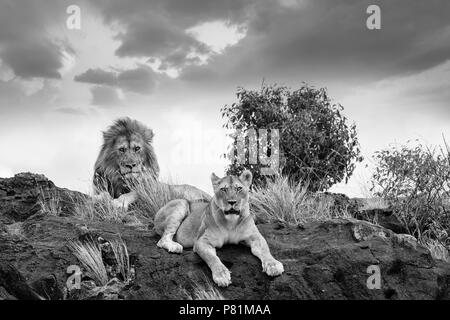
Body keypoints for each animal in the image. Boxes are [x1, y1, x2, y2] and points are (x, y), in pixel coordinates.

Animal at [153, 170, 284, 288]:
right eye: (223, 189)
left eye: (239, 188)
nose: (232, 202)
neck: (231, 221)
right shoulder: (202, 241)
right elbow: (212, 258)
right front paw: (221, 275)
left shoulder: (254, 236)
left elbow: (265, 250)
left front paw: (273, 265)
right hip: (181, 203)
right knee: (162, 240)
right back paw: (175, 246)